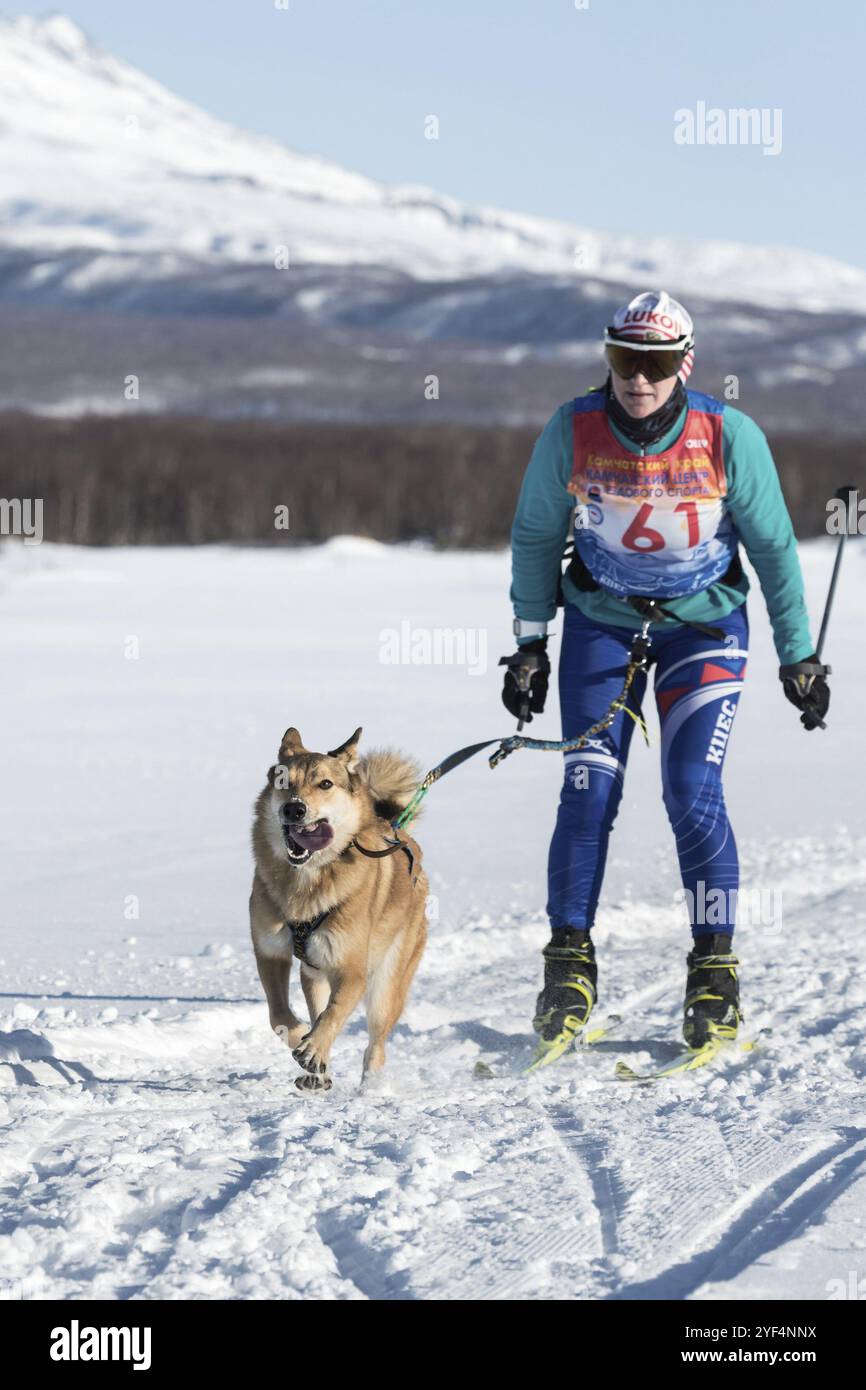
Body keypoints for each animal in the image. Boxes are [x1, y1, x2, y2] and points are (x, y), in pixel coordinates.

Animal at [248, 722, 428, 1089]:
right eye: (284, 782)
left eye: (326, 784)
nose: (294, 809)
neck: (307, 882)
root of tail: (397, 828)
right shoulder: (271, 952)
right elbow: (279, 1015)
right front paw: (305, 1043)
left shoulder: (352, 970)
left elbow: (333, 1014)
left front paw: (313, 1048)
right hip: (314, 973)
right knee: (317, 1007)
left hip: (385, 984)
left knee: (375, 1044)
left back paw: (370, 1086)